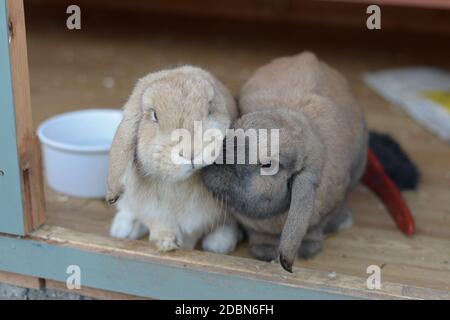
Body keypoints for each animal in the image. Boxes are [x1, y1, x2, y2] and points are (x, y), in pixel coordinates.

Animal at [107, 66, 241, 254]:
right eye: (154, 116)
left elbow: (192, 234)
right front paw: (166, 243)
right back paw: (123, 230)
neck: (179, 184)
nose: (191, 153)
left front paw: (183, 246)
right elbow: (159, 225)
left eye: (209, 110)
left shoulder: (199, 219)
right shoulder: (151, 210)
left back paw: (218, 243)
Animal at [202, 53, 368, 272]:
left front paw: (308, 250)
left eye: (268, 165)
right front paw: (264, 252)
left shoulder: (325, 211)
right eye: (237, 124)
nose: (213, 160)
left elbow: (314, 229)